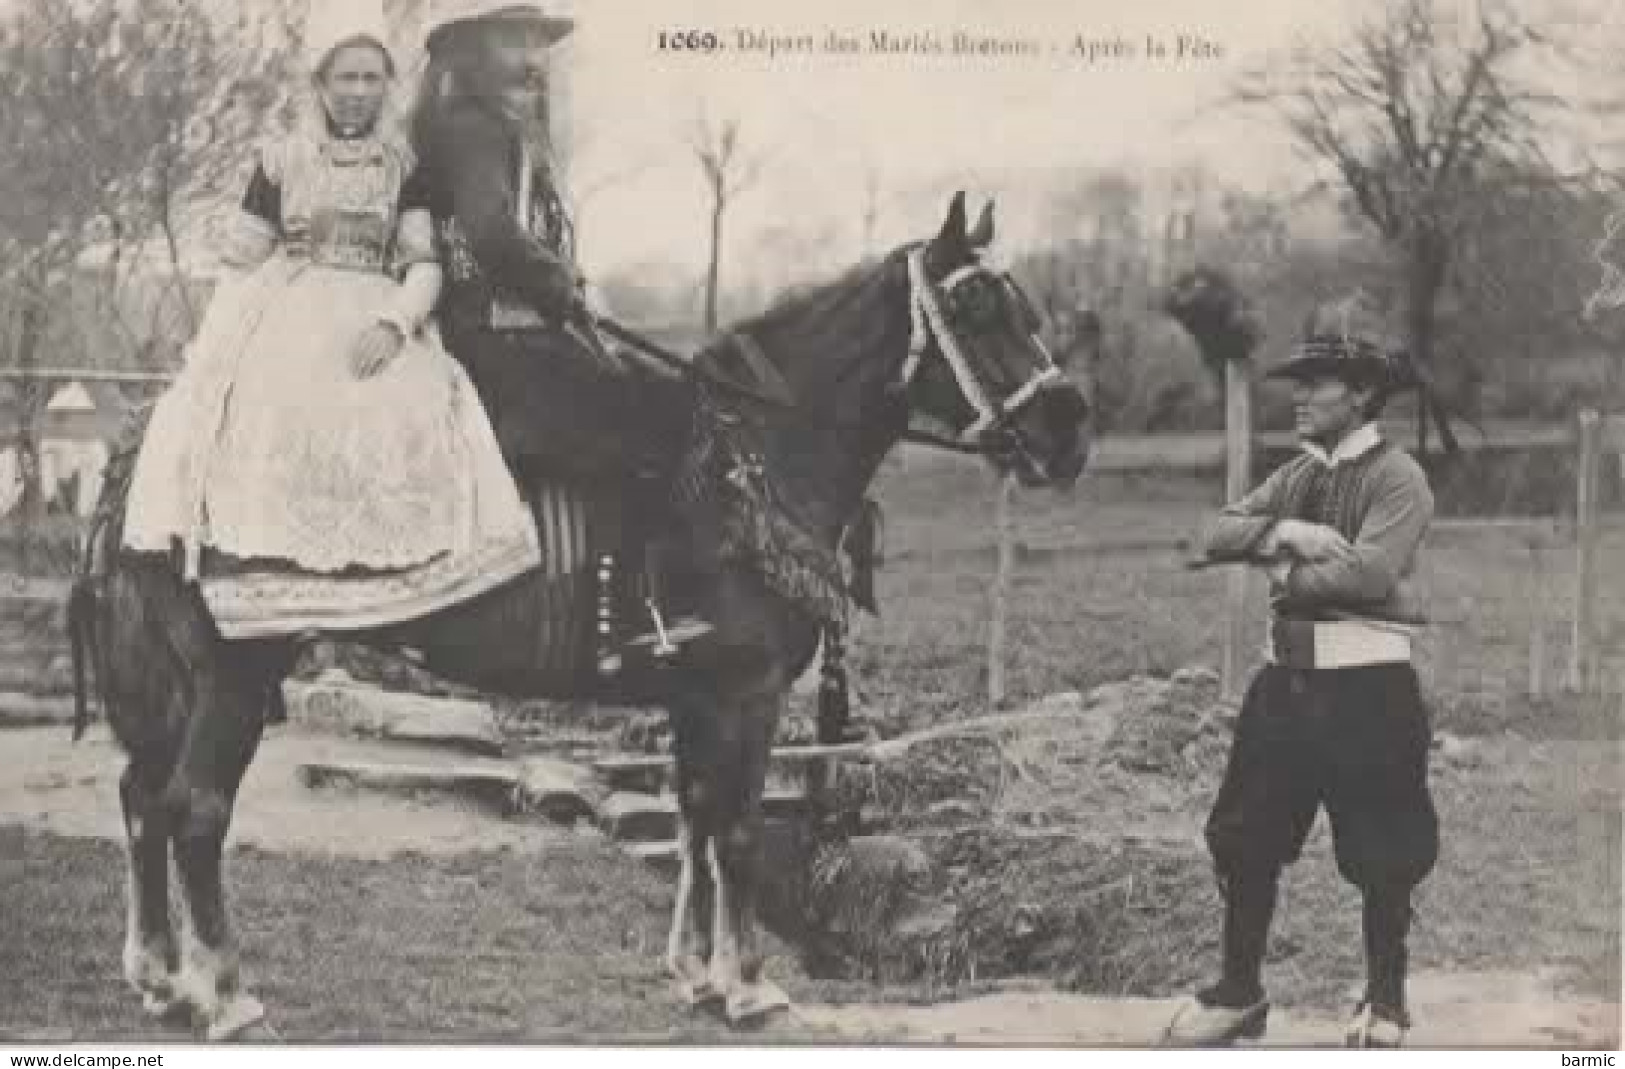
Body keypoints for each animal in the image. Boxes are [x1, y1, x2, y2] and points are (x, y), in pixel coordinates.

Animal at [69, 191, 1098, 1033]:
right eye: (976, 307)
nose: (1069, 430)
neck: (754, 457)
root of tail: (144, 454)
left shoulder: (695, 693)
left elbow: (693, 814)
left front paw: (696, 971)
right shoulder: (747, 688)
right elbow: (736, 825)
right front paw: (749, 983)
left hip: (169, 682)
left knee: (142, 799)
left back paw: (159, 975)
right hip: (232, 676)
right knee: (195, 809)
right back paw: (223, 993)